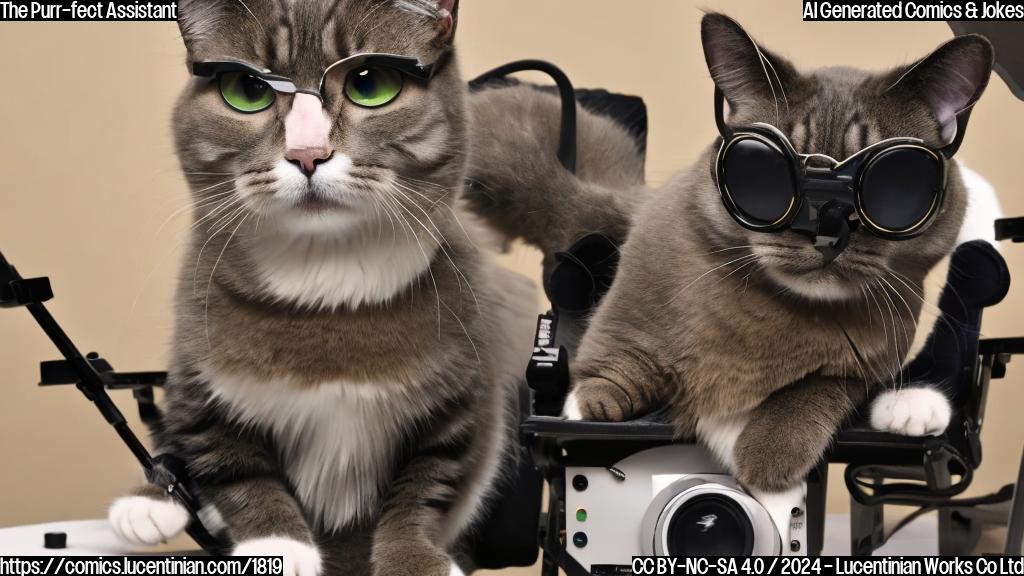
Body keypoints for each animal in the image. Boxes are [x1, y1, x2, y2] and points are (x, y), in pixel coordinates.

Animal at [105, 1, 536, 573]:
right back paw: (149, 503)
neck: (325, 286)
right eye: (247, 90)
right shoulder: (199, 371)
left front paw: (411, 557)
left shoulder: (460, 390)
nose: (307, 153)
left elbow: (425, 485)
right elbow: (233, 463)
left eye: (370, 84)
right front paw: (278, 548)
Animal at [468, 13, 991, 541]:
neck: (773, 314)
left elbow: (820, 386)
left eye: (894, 186)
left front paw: (769, 453)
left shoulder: (873, 357)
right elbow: (619, 355)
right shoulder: (633, 300)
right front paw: (591, 401)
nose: (826, 228)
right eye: (763, 175)